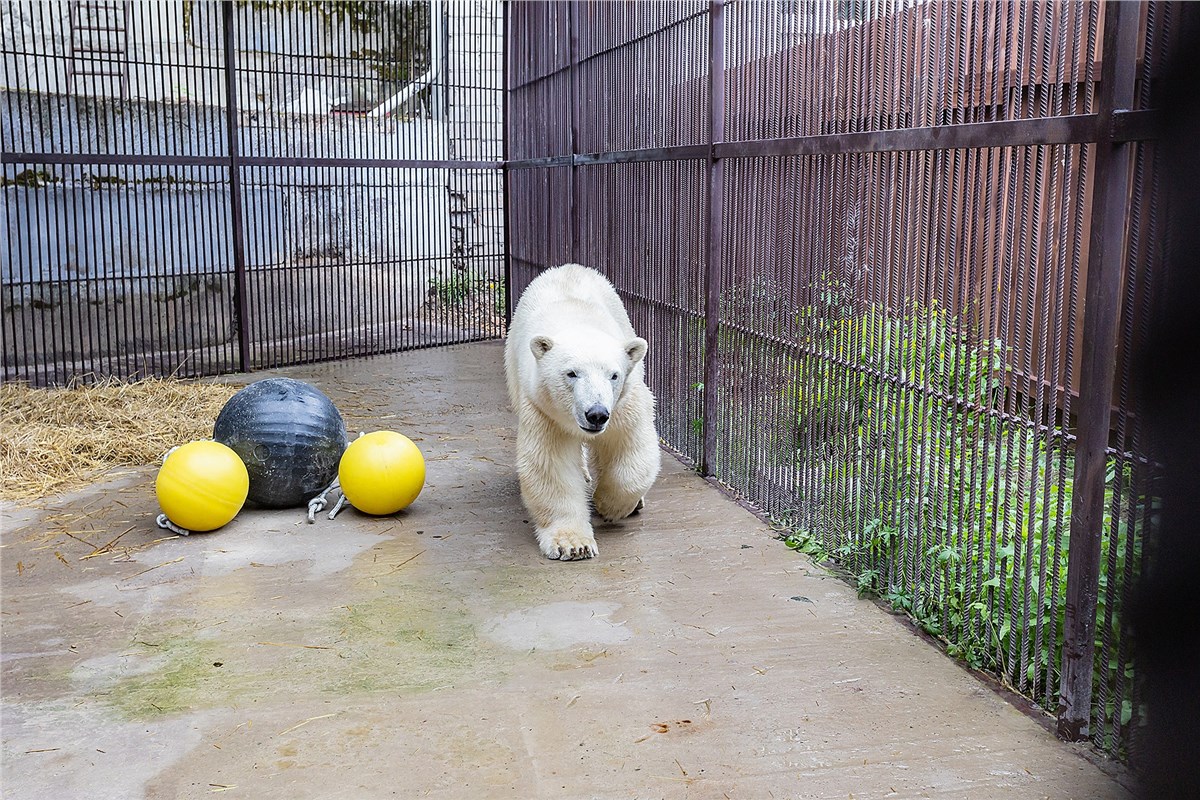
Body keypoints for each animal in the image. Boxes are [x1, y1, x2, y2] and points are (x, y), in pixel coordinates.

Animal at [501, 266, 662, 561]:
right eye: (571, 373)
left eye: (614, 375)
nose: (596, 414)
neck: (577, 322)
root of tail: (568, 268)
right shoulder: (543, 409)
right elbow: (553, 465)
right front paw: (573, 545)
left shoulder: (624, 404)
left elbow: (631, 447)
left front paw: (609, 505)